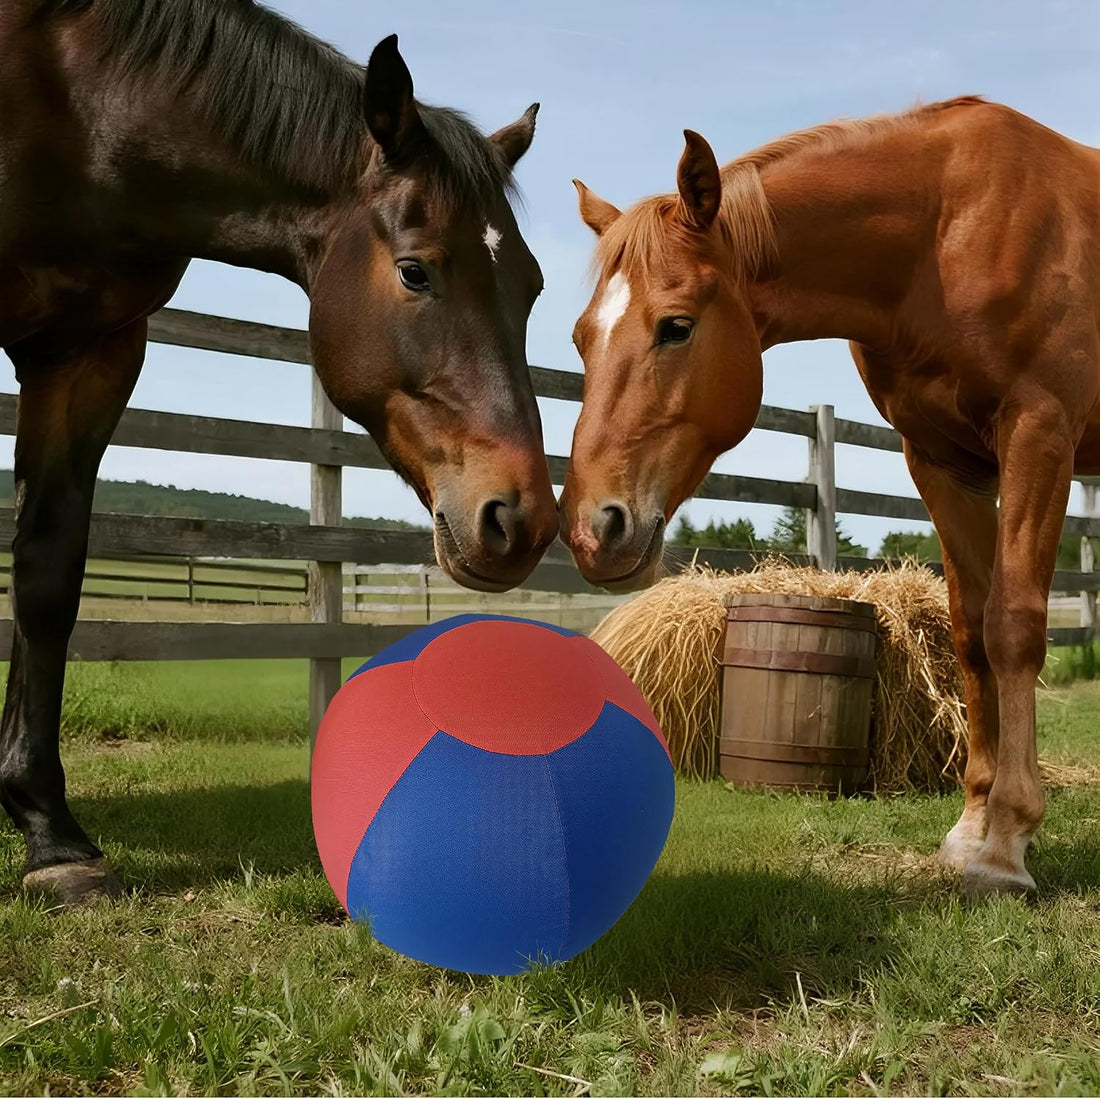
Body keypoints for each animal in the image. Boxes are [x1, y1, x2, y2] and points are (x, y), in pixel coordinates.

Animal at [0, 0, 559, 904]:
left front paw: (52, 835)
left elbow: (48, 573)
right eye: (415, 271)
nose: (521, 518)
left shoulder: (89, 352)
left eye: (533, 285)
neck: (77, 106)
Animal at [561, 97, 1100, 896]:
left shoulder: (1039, 433)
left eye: (676, 326)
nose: (595, 529)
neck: (947, 229)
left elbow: (1013, 627)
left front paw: (1006, 843)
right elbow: (971, 633)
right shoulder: (942, 461)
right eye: (580, 338)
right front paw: (971, 828)